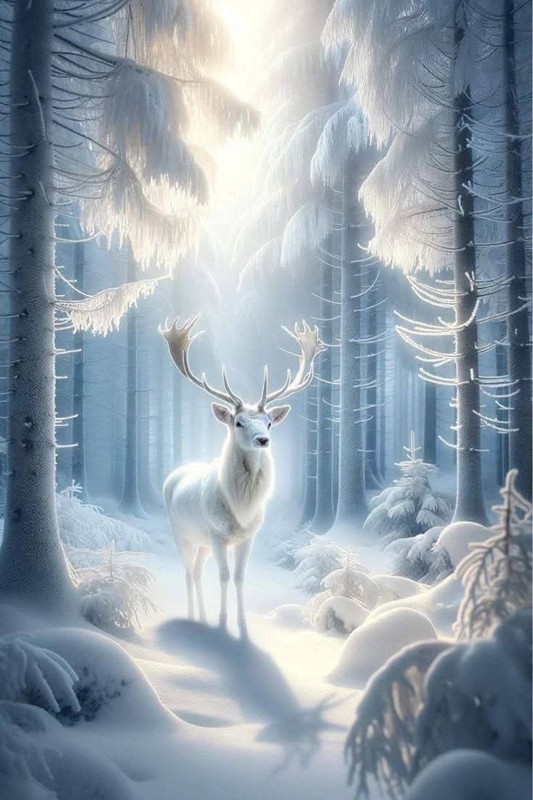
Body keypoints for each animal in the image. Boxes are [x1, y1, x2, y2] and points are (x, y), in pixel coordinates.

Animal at [159, 316, 325, 635]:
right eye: (238, 422)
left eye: (269, 422)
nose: (263, 440)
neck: (241, 509)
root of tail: (173, 475)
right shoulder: (217, 534)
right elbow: (223, 576)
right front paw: (223, 623)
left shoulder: (248, 537)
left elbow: (238, 577)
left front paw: (243, 625)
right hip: (182, 533)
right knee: (187, 572)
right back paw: (192, 615)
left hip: (201, 541)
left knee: (197, 570)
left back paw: (202, 616)